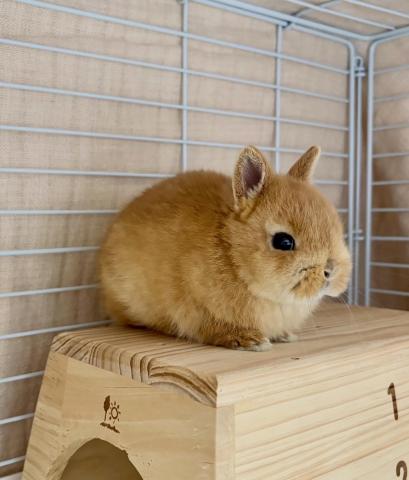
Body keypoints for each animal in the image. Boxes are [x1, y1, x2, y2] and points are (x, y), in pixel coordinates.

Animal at [99, 145, 351, 351]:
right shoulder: (196, 309)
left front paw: (284, 335)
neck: (233, 255)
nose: (330, 271)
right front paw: (250, 341)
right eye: (284, 242)